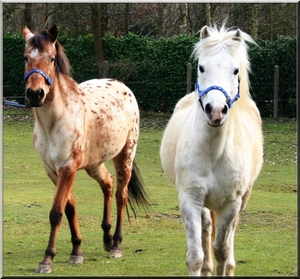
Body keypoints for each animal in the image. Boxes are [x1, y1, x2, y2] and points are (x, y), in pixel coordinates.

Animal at [159, 25, 262, 276]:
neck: (215, 153)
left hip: (242, 199)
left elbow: (222, 251)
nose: (216, 111)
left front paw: (225, 266)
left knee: (229, 235)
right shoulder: (190, 199)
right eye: (201, 67)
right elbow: (196, 256)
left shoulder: (231, 204)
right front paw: (202, 266)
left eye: (235, 70)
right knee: (206, 227)